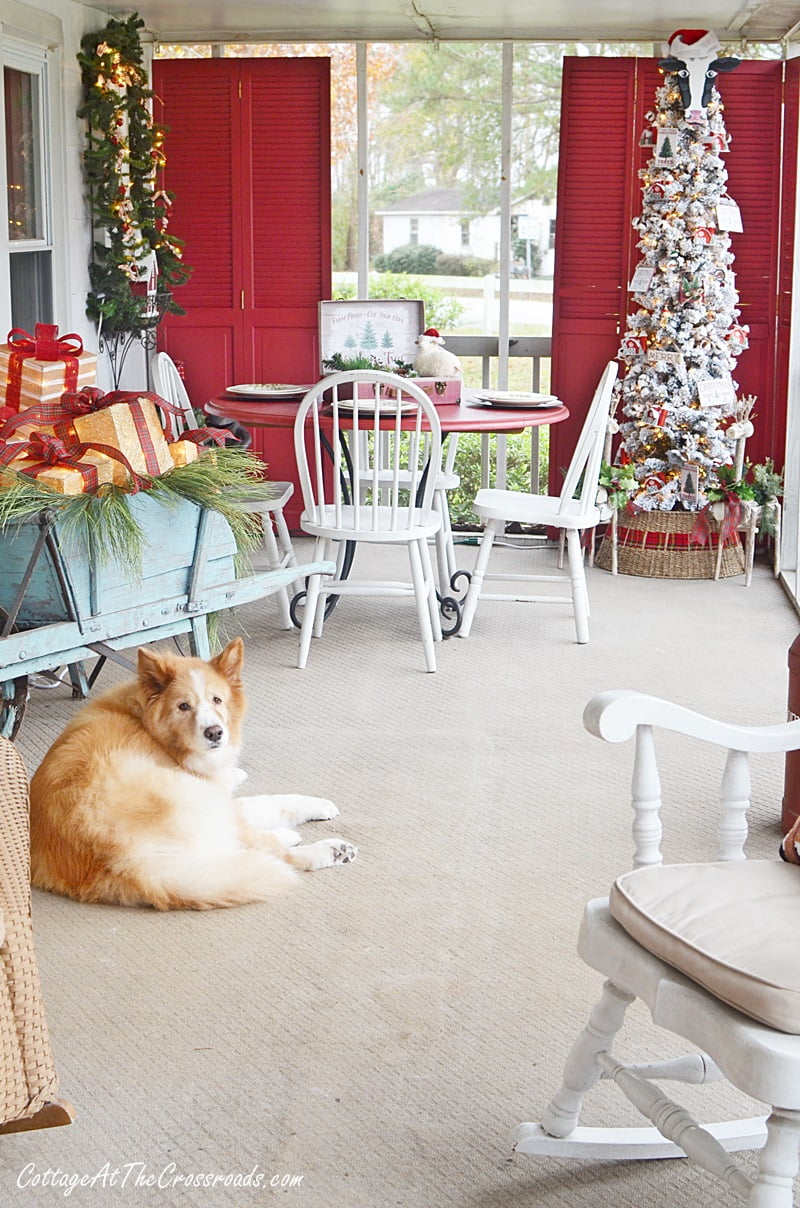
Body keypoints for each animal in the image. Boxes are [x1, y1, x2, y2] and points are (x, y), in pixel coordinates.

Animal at [29, 642, 357, 908]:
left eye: (217, 700)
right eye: (183, 706)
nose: (215, 733)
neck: (147, 725)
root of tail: (122, 863)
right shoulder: (210, 787)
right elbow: (267, 806)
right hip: (199, 799)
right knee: (269, 849)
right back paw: (328, 849)